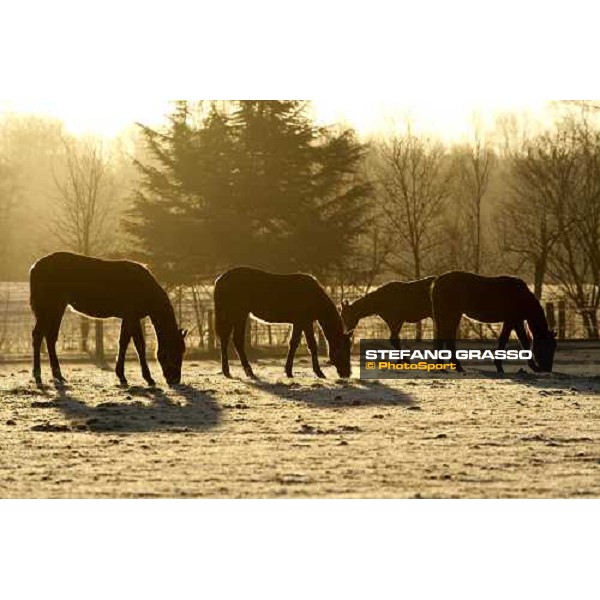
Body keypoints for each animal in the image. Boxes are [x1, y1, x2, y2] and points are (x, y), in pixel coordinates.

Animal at [28, 252, 186, 384]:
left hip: (56, 308)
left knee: (50, 338)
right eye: (175, 350)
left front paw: (121, 375)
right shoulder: (132, 316)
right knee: (38, 335)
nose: (175, 379)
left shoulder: (129, 318)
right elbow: (139, 345)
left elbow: (124, 343)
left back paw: (57, 374)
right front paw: (147, 378)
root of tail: (35, 267)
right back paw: (37, 374)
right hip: (50, 307)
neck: (144, 287)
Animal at [213, 268, 352, 380]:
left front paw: (289, 371)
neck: (314, 296)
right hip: (237, 315)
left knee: (229, 340)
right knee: (234, 340)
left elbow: (299, 344)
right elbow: (307, 345)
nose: (347, 373)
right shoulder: (303, 321)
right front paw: (317, 372)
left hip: (235, 316)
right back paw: (244, 371)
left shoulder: (301, 323)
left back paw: (232, 371)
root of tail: (219, 280)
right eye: (343, 349)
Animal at [428, 270, 556, 372]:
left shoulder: (515, 321)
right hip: (451, 314)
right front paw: (500, 367)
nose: (547, 369)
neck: (521, 297)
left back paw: (445, 366)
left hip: (450, 315)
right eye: (547, 346)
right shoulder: (513, 321)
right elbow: (512, 341)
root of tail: (437, 282)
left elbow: (519, 341)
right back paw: (454, 366)